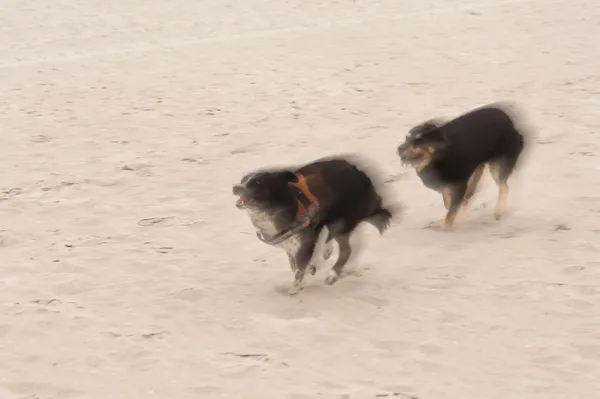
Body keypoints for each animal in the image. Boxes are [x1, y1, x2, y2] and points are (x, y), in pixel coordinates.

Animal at [232, 155, 396, 296]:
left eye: (257, 183)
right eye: (243, 180)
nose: (235, 187)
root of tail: (359, 173)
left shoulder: (305, 242)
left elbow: (299, 269)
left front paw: (296, 287)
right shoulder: (291, 245)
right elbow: (295, 266)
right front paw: (306, 274)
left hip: (340, 221)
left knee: (346, 250)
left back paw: (332, 274)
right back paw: (325, 254)